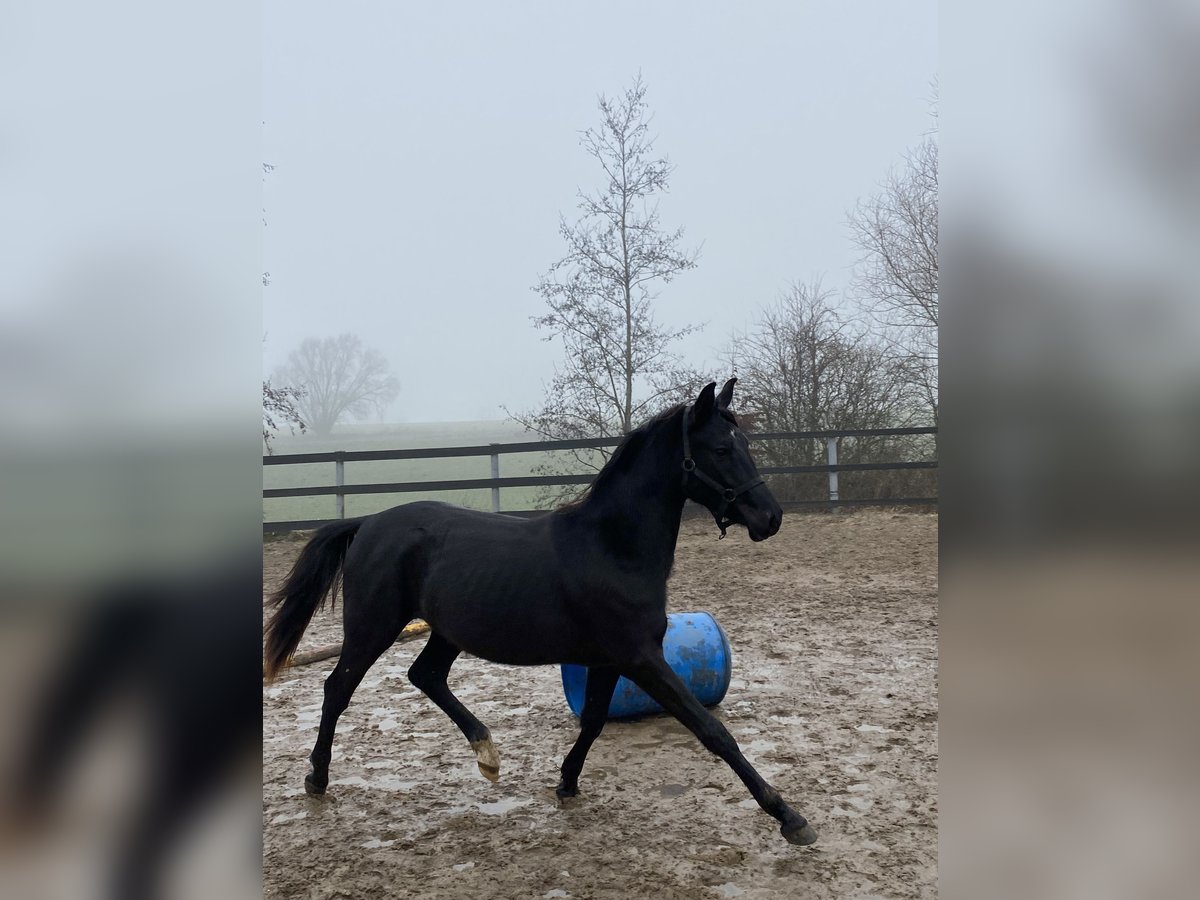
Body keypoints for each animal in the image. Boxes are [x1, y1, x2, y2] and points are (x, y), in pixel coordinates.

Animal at [264, 379, 820, 844]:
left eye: (744, 446)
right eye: (722, 449)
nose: (770, 517)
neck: (612, 548)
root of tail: (369, 522)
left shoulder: (608, 660)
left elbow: (593, 721)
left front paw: (566, 784)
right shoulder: (642, 658)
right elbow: (712, 731)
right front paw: (789, 816)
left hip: (447, 631)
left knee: (425, 676)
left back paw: (487, 754)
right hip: (373, 626)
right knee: (338, 689)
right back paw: (317, 778)